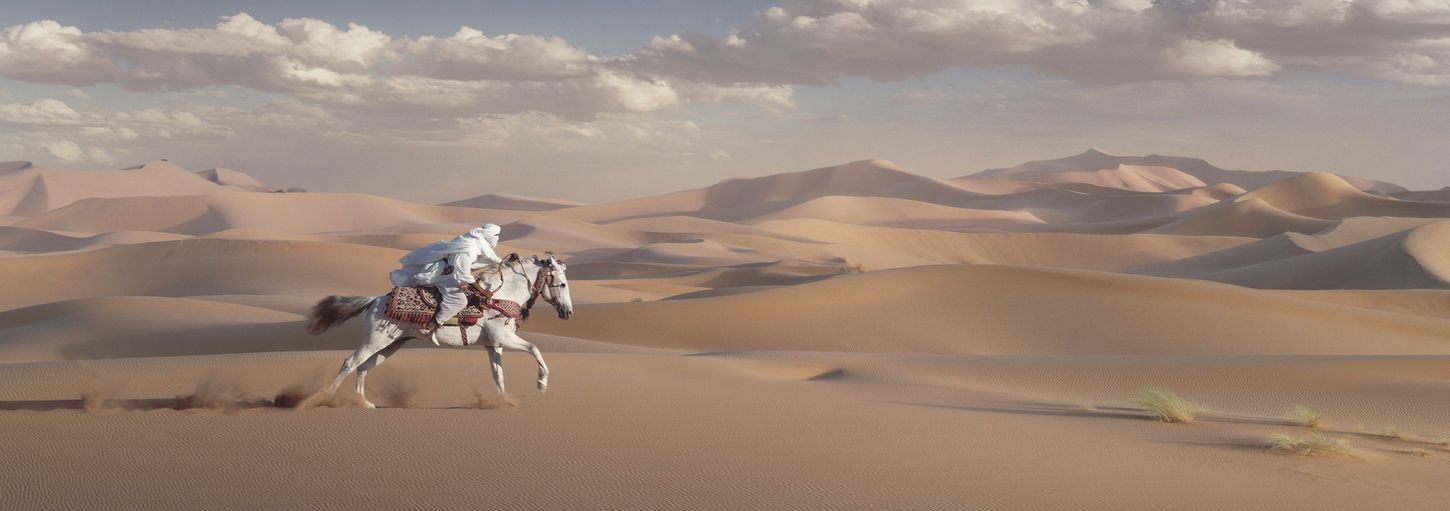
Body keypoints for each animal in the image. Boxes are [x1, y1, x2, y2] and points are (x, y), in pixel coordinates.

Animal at [300, 252, 573, 408]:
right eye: (561, 283)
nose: (568, 312)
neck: (501, 295)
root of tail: (376, 300)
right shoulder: (505, 338)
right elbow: (535, 348)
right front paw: (541, 383)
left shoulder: (493, 344)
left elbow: (498, 375)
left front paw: (503, 401)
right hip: (375, 341)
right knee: (349, 362)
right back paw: (324, 398)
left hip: (391, 345)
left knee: (364, 366)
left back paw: (364, 403)